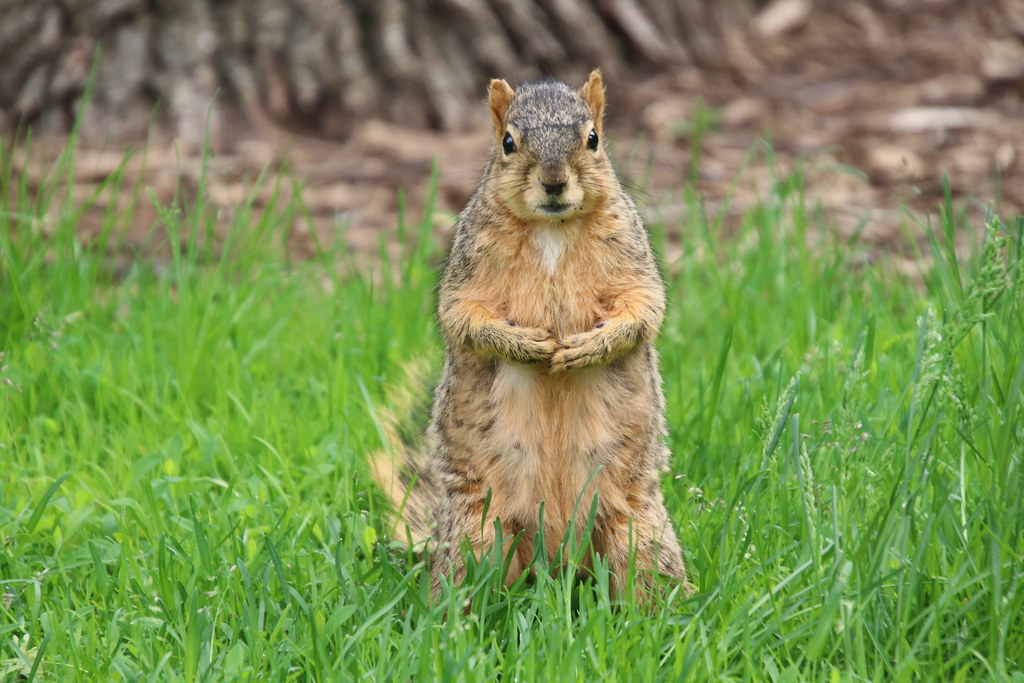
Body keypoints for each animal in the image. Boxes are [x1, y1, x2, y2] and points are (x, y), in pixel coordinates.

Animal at [372, 69, 692, 602]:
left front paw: (587, 347)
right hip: (477, 533)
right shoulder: (467, 269)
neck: (553, 230)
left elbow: (645, 309)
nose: (554, 180)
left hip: (639, 532)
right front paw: (525, 345)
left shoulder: (634, 260)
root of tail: (559, 557)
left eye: (593, 138)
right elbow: (462, 317)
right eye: (507, 143)